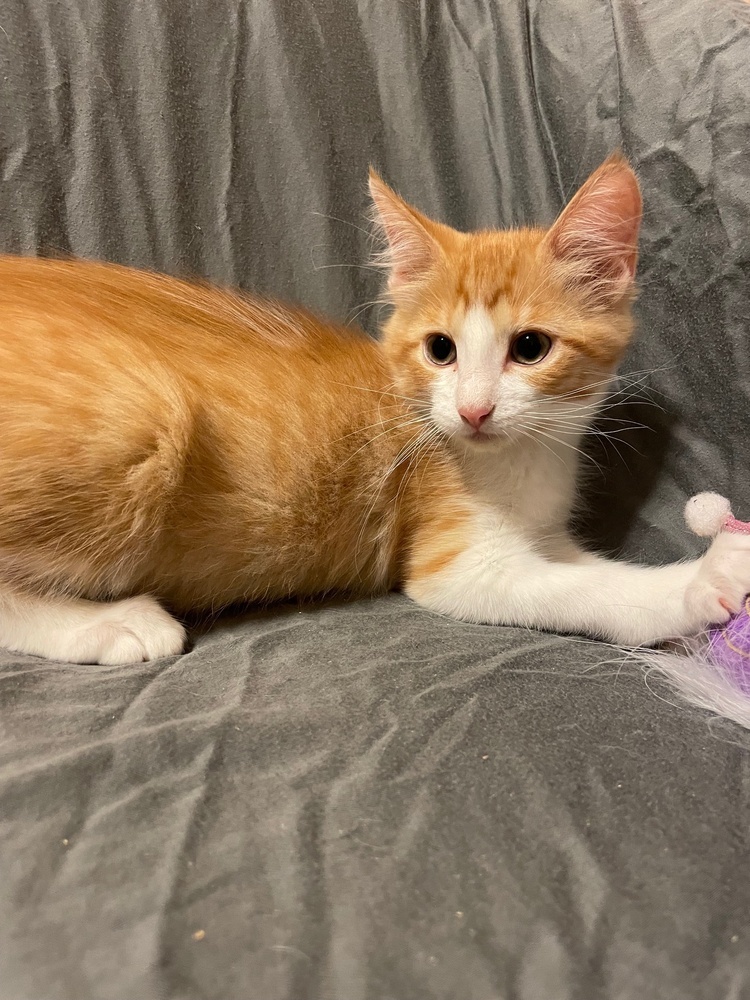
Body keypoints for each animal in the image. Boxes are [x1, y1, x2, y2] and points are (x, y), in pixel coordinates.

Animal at [1, 152, 750, 664]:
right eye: (441, 349)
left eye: (530, 347)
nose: (474, 412)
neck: (516, 461)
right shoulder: (454, 562)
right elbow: (583, 592)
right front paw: (699, 582)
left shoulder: (544, 533)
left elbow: (581, 567)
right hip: (145, 411)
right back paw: (107, 623)